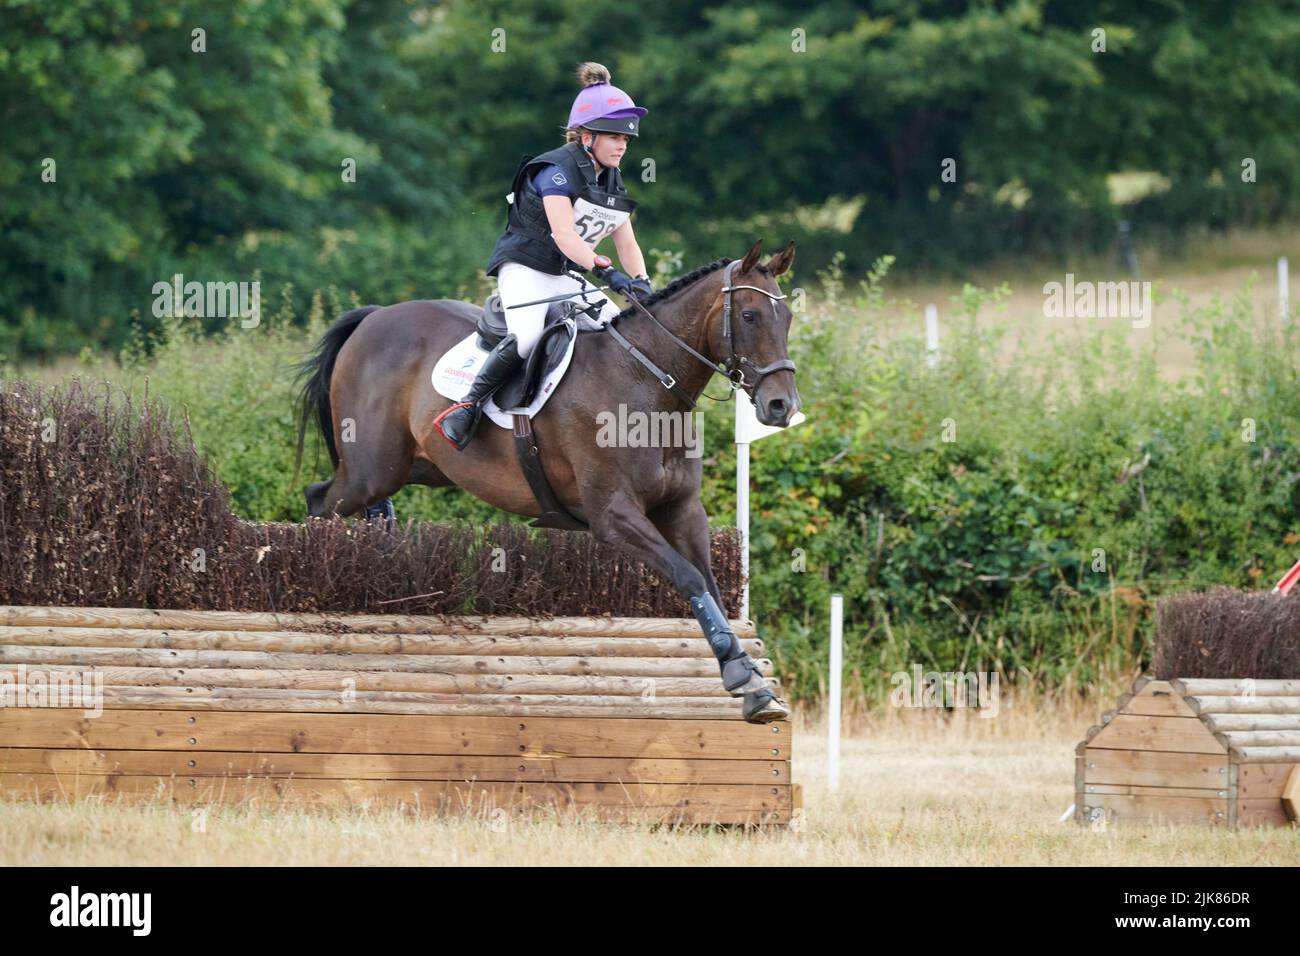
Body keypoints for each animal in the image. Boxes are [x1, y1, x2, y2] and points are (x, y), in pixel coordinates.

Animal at [297, 238, 795, 717]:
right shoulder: (613, 516)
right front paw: (740, 674)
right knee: (320, 502)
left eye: (787, 317)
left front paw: (752, 683)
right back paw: (311, 584)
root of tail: (374, 317)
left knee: (371, 510)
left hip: (413, 468)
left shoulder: (682, 510)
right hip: (369, 469)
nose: (781, 406)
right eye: (749, 316)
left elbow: (710, 587)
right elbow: (689, 578)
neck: (645, 379)